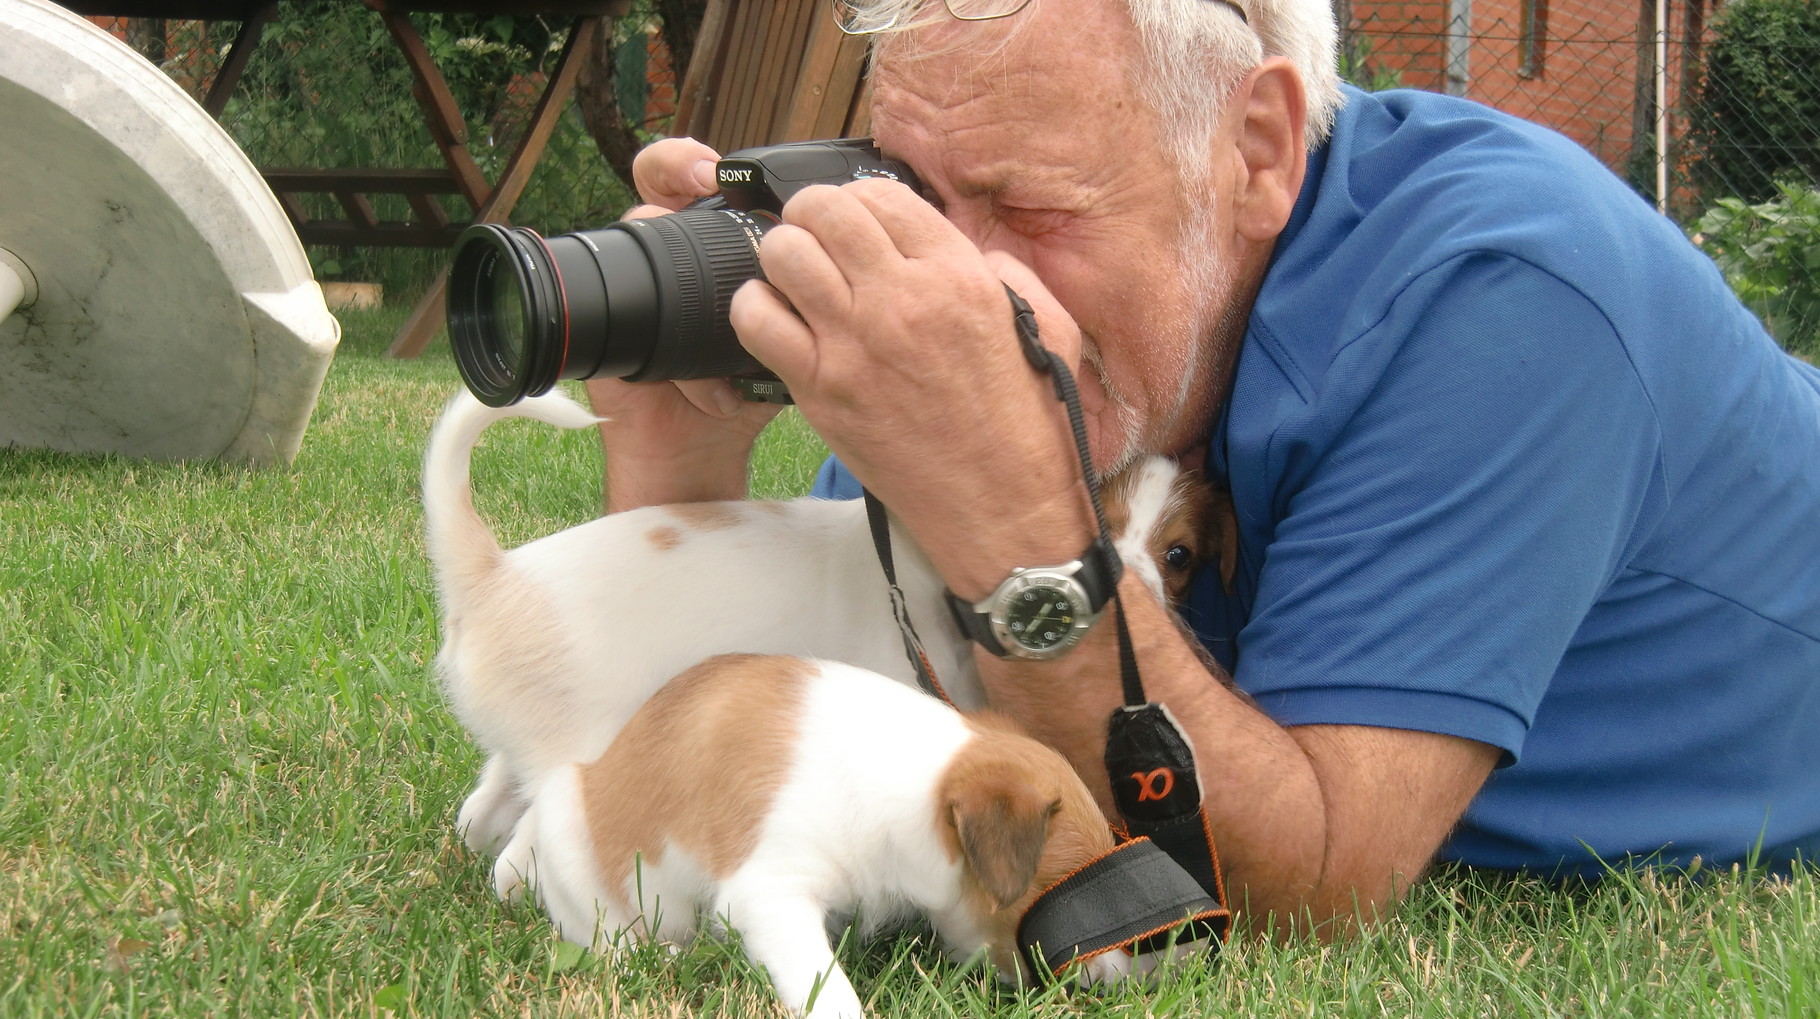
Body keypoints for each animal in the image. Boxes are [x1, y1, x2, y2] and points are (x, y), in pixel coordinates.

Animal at [498, 651, 1121, 1011]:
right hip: (575, 843)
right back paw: (663, 958)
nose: (1120, 982)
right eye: (1057, 893)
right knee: (607, 939)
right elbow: (827, 988)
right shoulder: (768, 893)